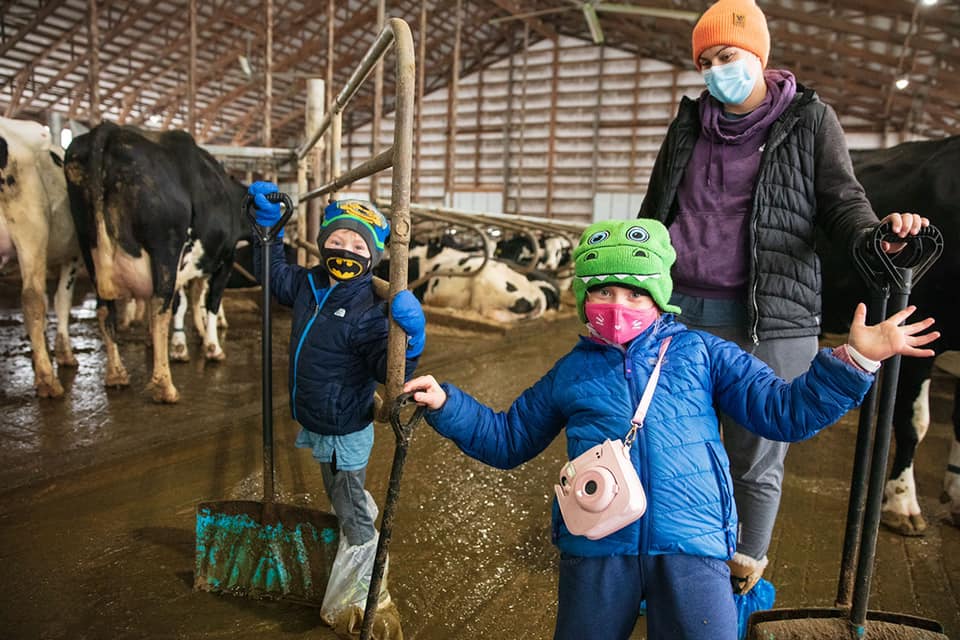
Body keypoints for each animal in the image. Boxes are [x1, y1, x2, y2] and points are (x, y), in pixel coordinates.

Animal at [0, 115, 81, 396]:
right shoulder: (72, 255)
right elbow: (61, 300)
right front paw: (63, 353)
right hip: (30, 228)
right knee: (32, 299)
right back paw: (48, 380)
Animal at [64, 122, 249, 402]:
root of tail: (108, 130)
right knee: (160, 305)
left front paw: (186, 341)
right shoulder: (223, 260)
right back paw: (164, 385)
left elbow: (191, 299)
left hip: (89, 245)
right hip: (165, 247)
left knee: (105, 310)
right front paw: (210, 347)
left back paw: (116, 375)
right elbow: (208, 303)